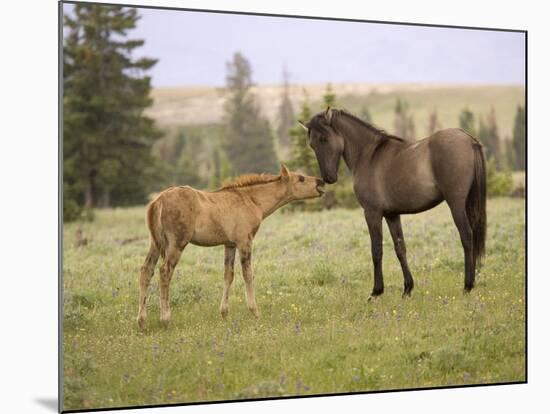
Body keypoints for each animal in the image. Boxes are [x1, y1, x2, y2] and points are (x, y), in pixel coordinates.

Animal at [302, 108, 488, 300]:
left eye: (324, 139)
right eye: (312, 144)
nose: (328, 178)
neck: (368, 155)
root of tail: (469, 140)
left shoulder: (372, 213)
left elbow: (376, 250)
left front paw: (376, 291)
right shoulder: (392, 215)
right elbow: (400, 248)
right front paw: (407, 288)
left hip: (456, 204)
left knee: (467, 236)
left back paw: (467, 285)